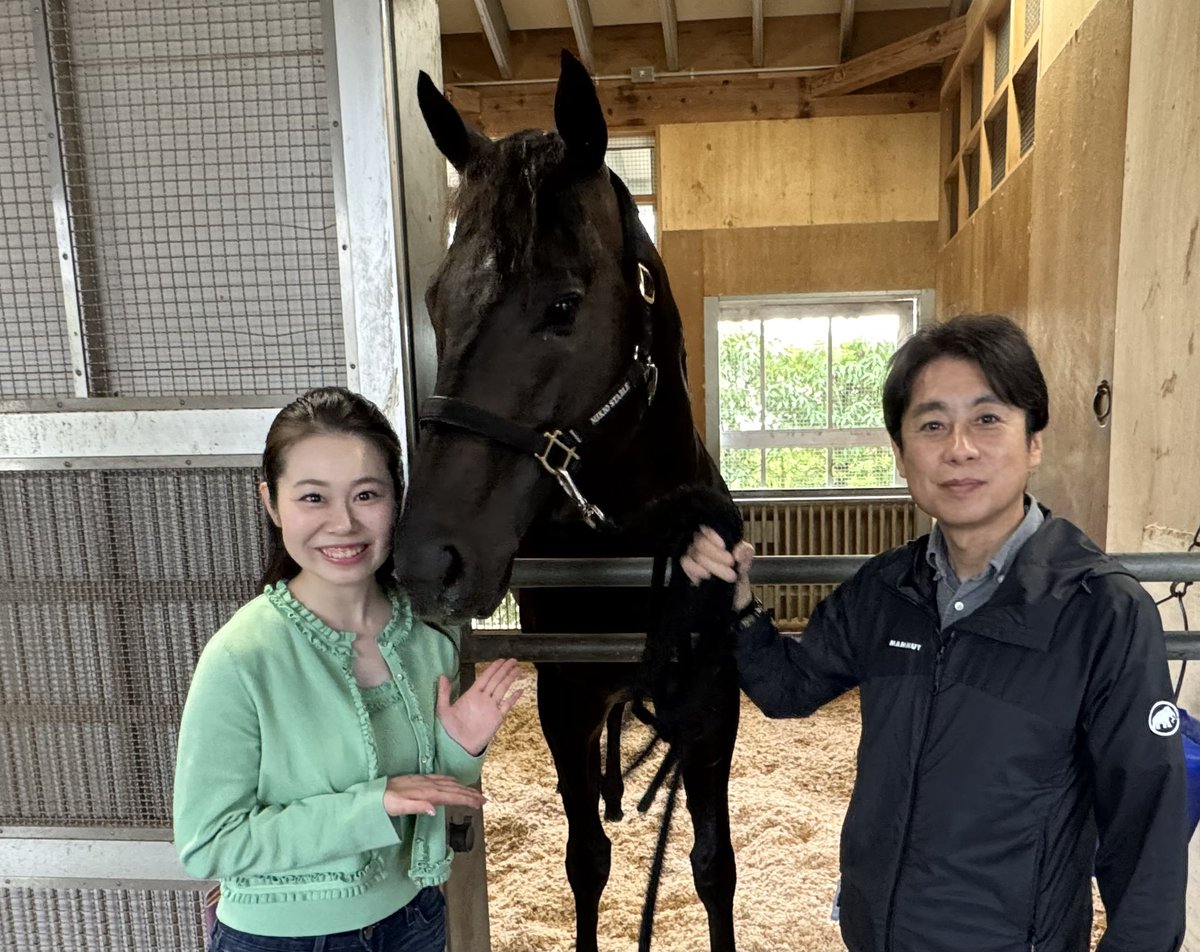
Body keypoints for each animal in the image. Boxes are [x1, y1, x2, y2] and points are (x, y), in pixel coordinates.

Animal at [394, 51, 740, 952]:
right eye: (437, 301)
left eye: (562, 305)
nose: (426, 561)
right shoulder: (566, 705)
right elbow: (587, 860)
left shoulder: (712, 711)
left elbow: (712, 866)